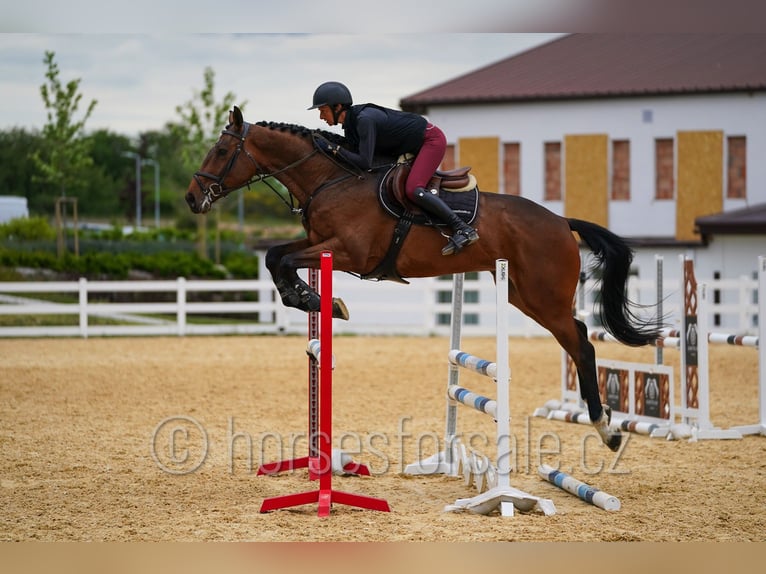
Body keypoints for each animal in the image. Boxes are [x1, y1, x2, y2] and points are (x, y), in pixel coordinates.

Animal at [185, 105, 661, 452]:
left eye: (220, 151)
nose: (192, 198)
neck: (331, 180)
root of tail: (562, 221)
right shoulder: (319, 243)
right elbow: (275, 257)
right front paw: (312, 299)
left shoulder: (349, 252)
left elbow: (281, 260)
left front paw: (317, 300)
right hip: (523, 295)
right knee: (578, 336)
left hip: (544, 298)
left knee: (581, 343)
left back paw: (606, 428)